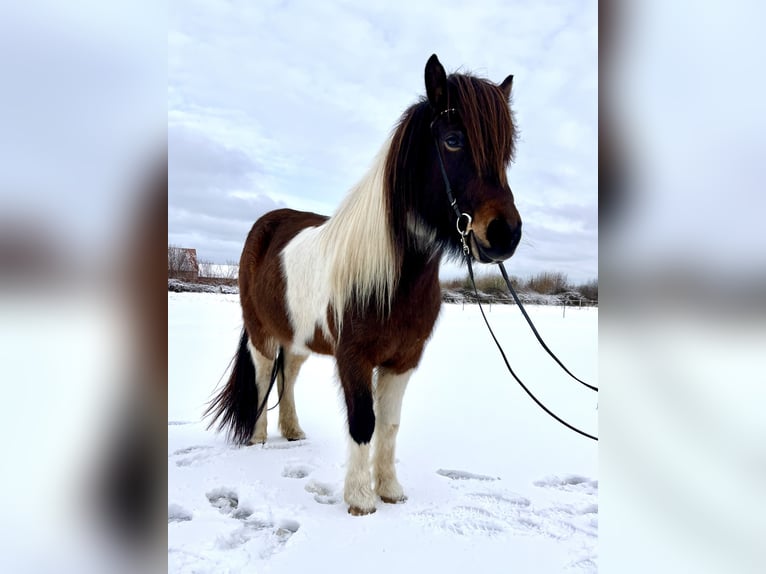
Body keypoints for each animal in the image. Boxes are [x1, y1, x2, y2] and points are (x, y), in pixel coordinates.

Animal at [206, 54, 521, 516]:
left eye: (506, 151)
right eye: (452, 140)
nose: (505, 235)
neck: (393, 277)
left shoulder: (403, 360)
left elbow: (388, 424)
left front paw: (390, 490)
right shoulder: (352, 357)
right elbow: (362, 421)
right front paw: (359, 500)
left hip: (299, 339)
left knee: (288, 377)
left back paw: (293, 430)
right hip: (263, 333)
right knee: (265, 376)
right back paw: (258, 437)